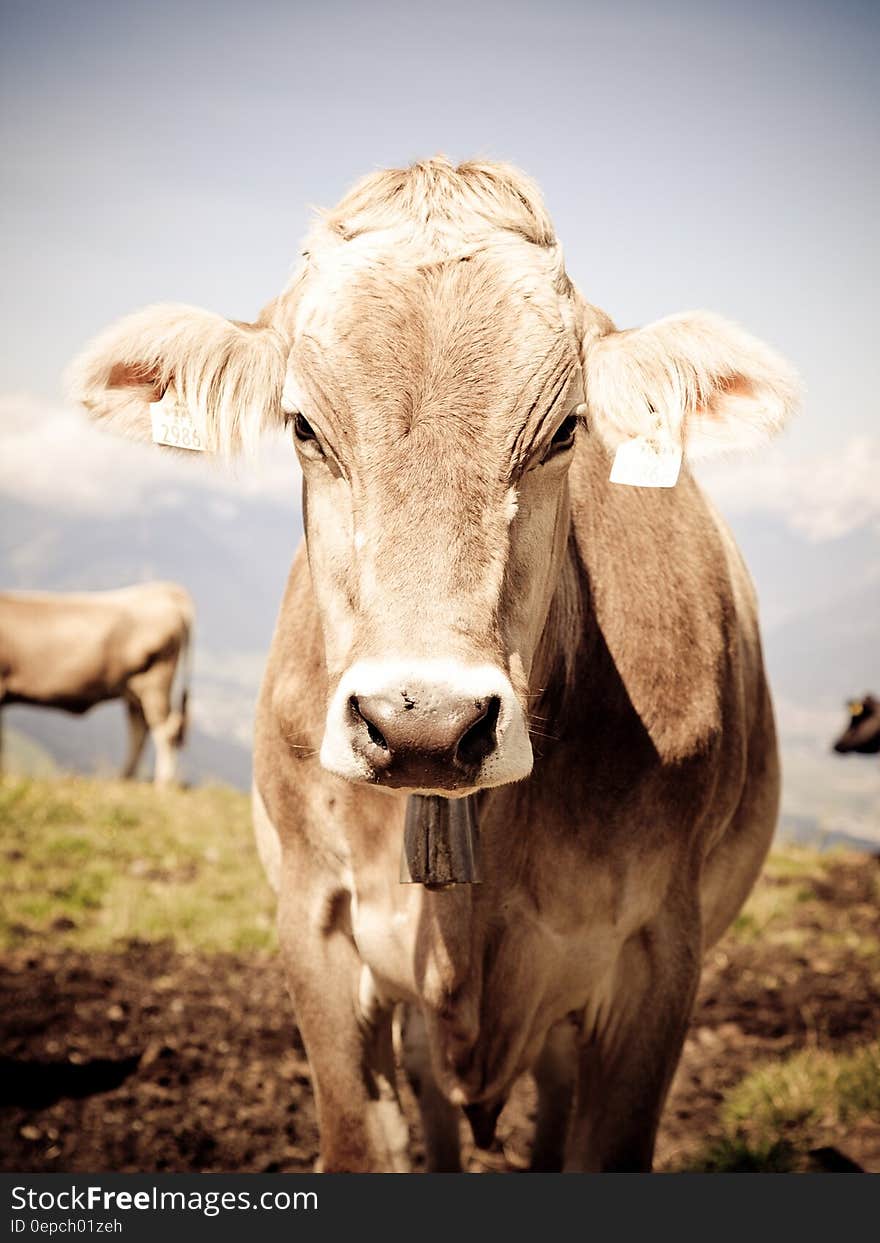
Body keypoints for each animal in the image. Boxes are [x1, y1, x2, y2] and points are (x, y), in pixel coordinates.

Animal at [0, 584, 193, 785]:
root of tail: (164, 589)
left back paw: (162, 782)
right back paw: (125, 778)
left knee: (165, 730)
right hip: (135, 691)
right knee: (139, 731)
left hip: (155, 682)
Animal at [67, 160, 795, 1168]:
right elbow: (359, 1134)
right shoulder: (319, 925)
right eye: (303, 426)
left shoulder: (656, 954)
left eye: (565, 430)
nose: (424, 722)